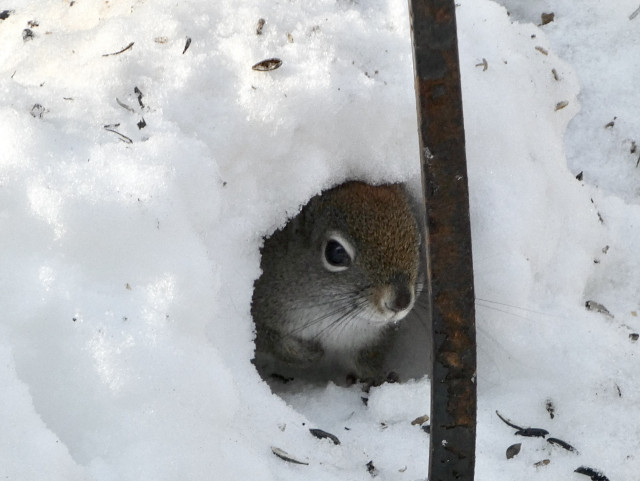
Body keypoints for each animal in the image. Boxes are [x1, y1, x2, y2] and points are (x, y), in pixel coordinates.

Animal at [251, 181, 422, 383]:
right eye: (336, 252)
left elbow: (367, 359)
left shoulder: (371, 340)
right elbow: (269, 341)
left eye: (418, 241)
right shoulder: (260, 307)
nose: (401, 301)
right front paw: (309, 354)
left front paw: (376, 379)